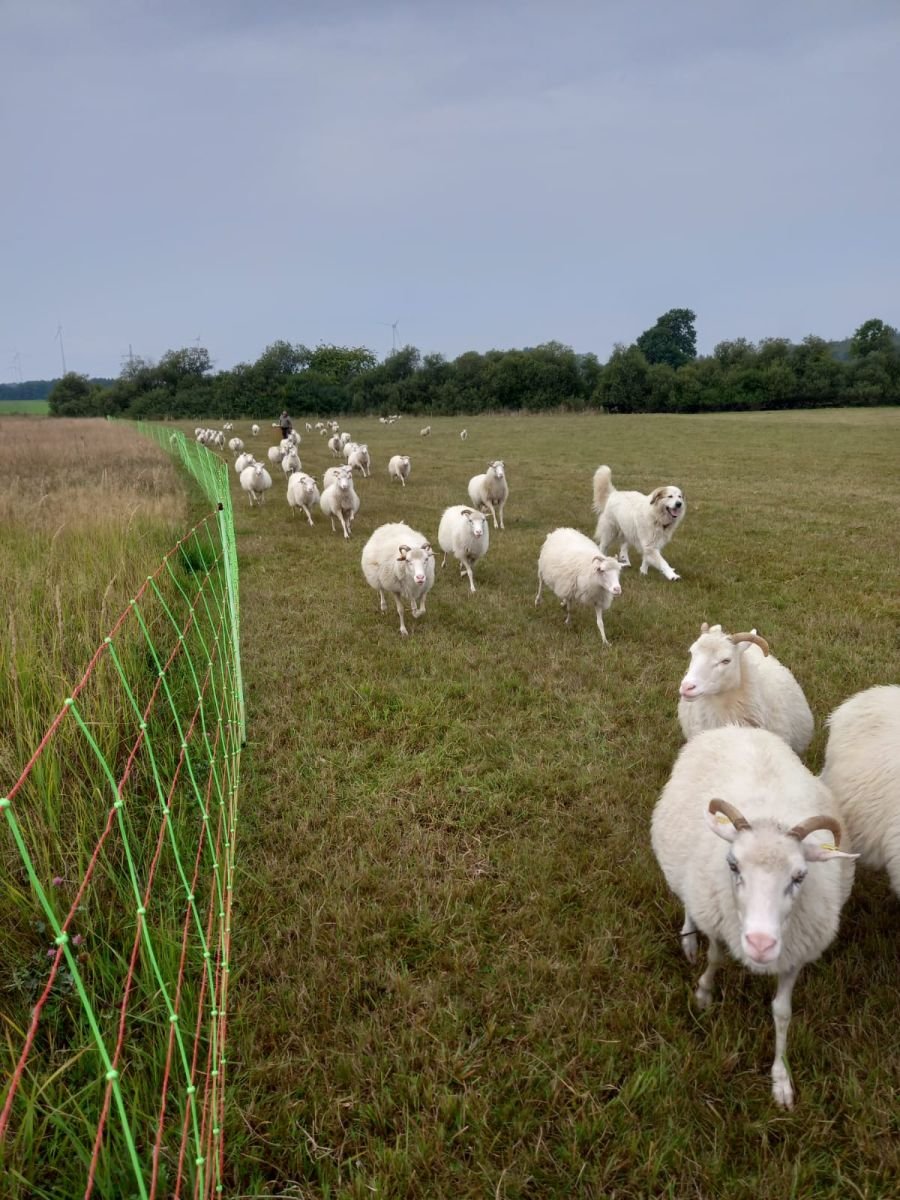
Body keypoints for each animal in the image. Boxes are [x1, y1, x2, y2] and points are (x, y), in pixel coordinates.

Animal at [657, 720, 859, 1104]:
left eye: (800, 876)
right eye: (733, 865)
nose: (761, 944)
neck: (771, 815)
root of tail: (737, 728)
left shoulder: (795, 953)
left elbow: (782, 1012)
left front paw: (781, 1080)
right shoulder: (719, 922)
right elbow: (715, 959)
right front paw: (703, 995)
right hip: (682, 866)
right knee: (687, 897)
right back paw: (689, 939)